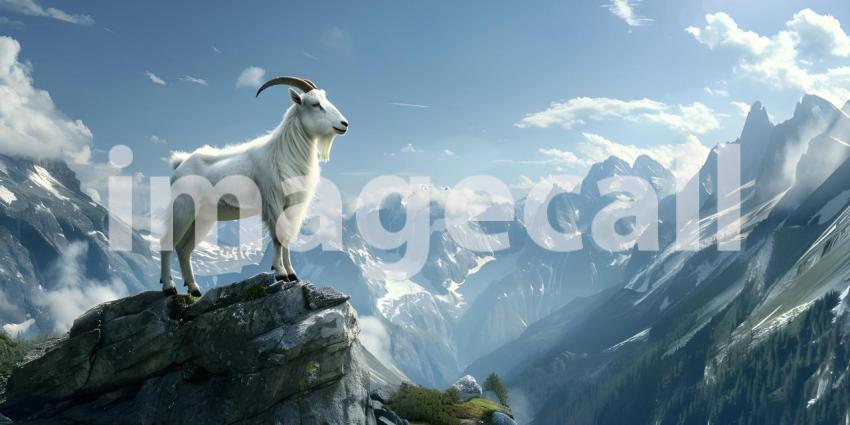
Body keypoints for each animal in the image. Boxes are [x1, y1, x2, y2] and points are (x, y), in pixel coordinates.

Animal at [160, 76, 348, 296]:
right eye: (315, 104)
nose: (344, 124)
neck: (283, 152)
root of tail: (180, 164)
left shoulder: (292, 206)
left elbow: (287, 237)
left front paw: (292, 274)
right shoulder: (273, 202)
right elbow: (278, 236)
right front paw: (281, 273)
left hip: (203, 216)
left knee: (184, 249)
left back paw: (194, 289)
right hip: (182, 207)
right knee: (167, 243)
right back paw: (169, 287)